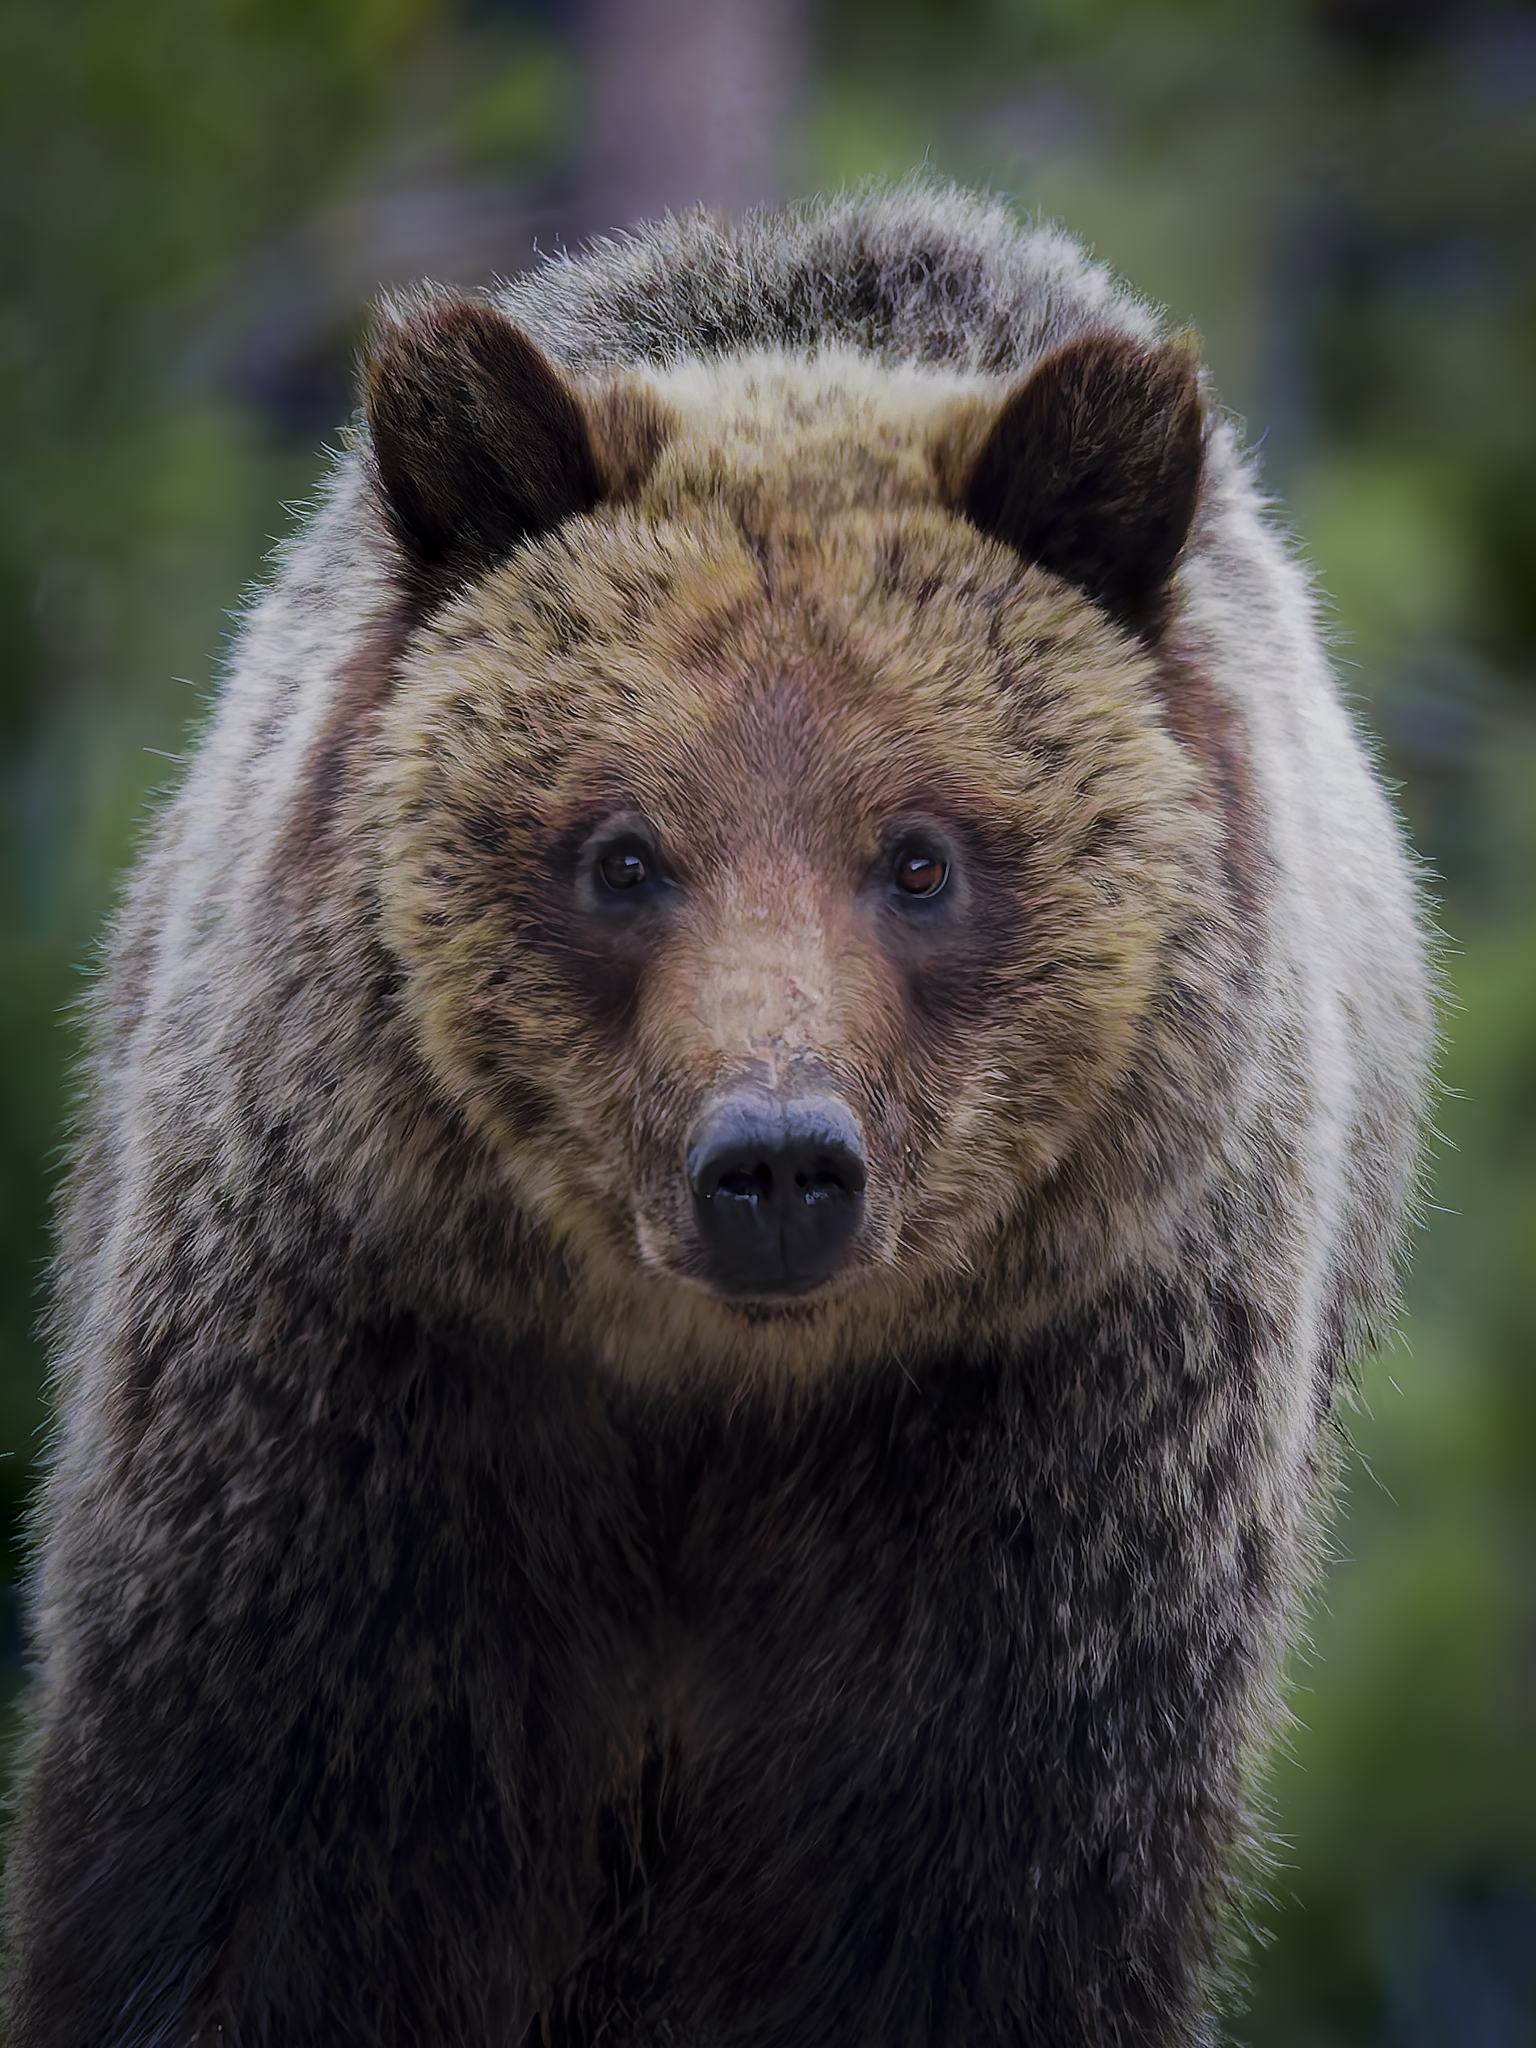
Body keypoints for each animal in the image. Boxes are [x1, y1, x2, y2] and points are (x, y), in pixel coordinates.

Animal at [2, 182, 1431, 2048]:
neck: (713, 1395)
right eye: (623, 853)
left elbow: (967, 1911)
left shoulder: (1042, 1467)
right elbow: (247, 1873)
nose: (774, 1163)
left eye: (921, 856)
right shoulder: (363, 1414)